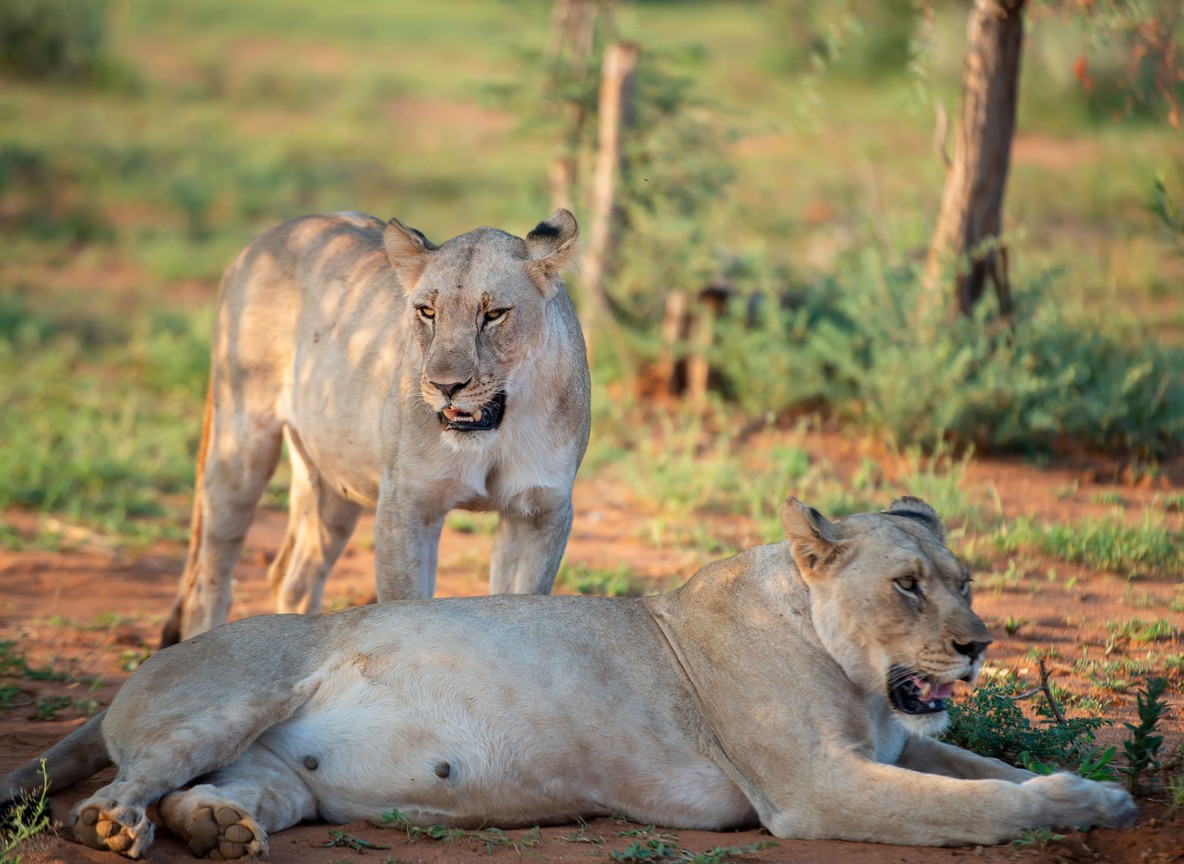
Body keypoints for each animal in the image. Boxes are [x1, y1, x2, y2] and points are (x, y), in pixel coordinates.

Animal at [1, 496, 1136, 858]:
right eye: (906, 587)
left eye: (965, 583)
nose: (977, 644)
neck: (853, 673)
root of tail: (136, 673)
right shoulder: (813, 789)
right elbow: (975, 809)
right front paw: (1067, 806)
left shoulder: (899, 741)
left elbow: (981, 768)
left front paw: (1103, 794)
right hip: (232, 701)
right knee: (113, 789)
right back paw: (118, 828)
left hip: (283, 776)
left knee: (222, 794)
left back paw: (220, 832)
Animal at [158, 208, 591, 647]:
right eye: (427, 312)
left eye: (493, 314)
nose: (445, 386)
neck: (497, 432)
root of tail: (265, 237)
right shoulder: (406, 505)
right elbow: (406, 607)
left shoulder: (539, 512)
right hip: (241, 447)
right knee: (208, 581)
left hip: (334, 478)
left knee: (294, 577)